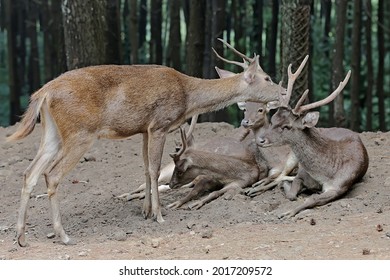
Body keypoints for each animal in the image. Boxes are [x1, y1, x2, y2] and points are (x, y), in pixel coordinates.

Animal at [6, 38, 284, 246]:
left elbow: (145, 168)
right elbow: (154, 168)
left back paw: (21, 237)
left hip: (51, 132)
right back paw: (63, 235)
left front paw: (146, 211)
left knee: (29, 172)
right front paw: (159, 215)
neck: (187, 97)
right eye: (267, 77)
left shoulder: (143, 129)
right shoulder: (160, 124)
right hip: (80, 133)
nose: (282, 92)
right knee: (51, 174)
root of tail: (43, 93)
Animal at [256, 55, 368, 219]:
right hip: (292, 158)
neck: (324, 174)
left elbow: (311, 199)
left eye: (287, 126)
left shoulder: (339, 186)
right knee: (279, 175)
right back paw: (254, 188)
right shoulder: (302, 174)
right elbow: (292, 192)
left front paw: (287, 212)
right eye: (273, 119)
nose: (260, 139)